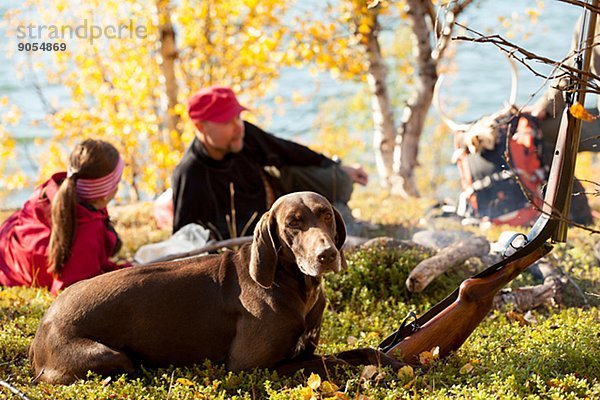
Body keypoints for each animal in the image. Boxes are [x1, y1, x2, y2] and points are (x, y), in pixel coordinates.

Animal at [29, 192, 356, 382]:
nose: (327, 255)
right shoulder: (249, 366)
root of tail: (42, 325)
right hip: (108, 356)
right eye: (293, 223)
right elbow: (331, 361)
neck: (296, 287)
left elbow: (353, 354)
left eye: (326, 214)